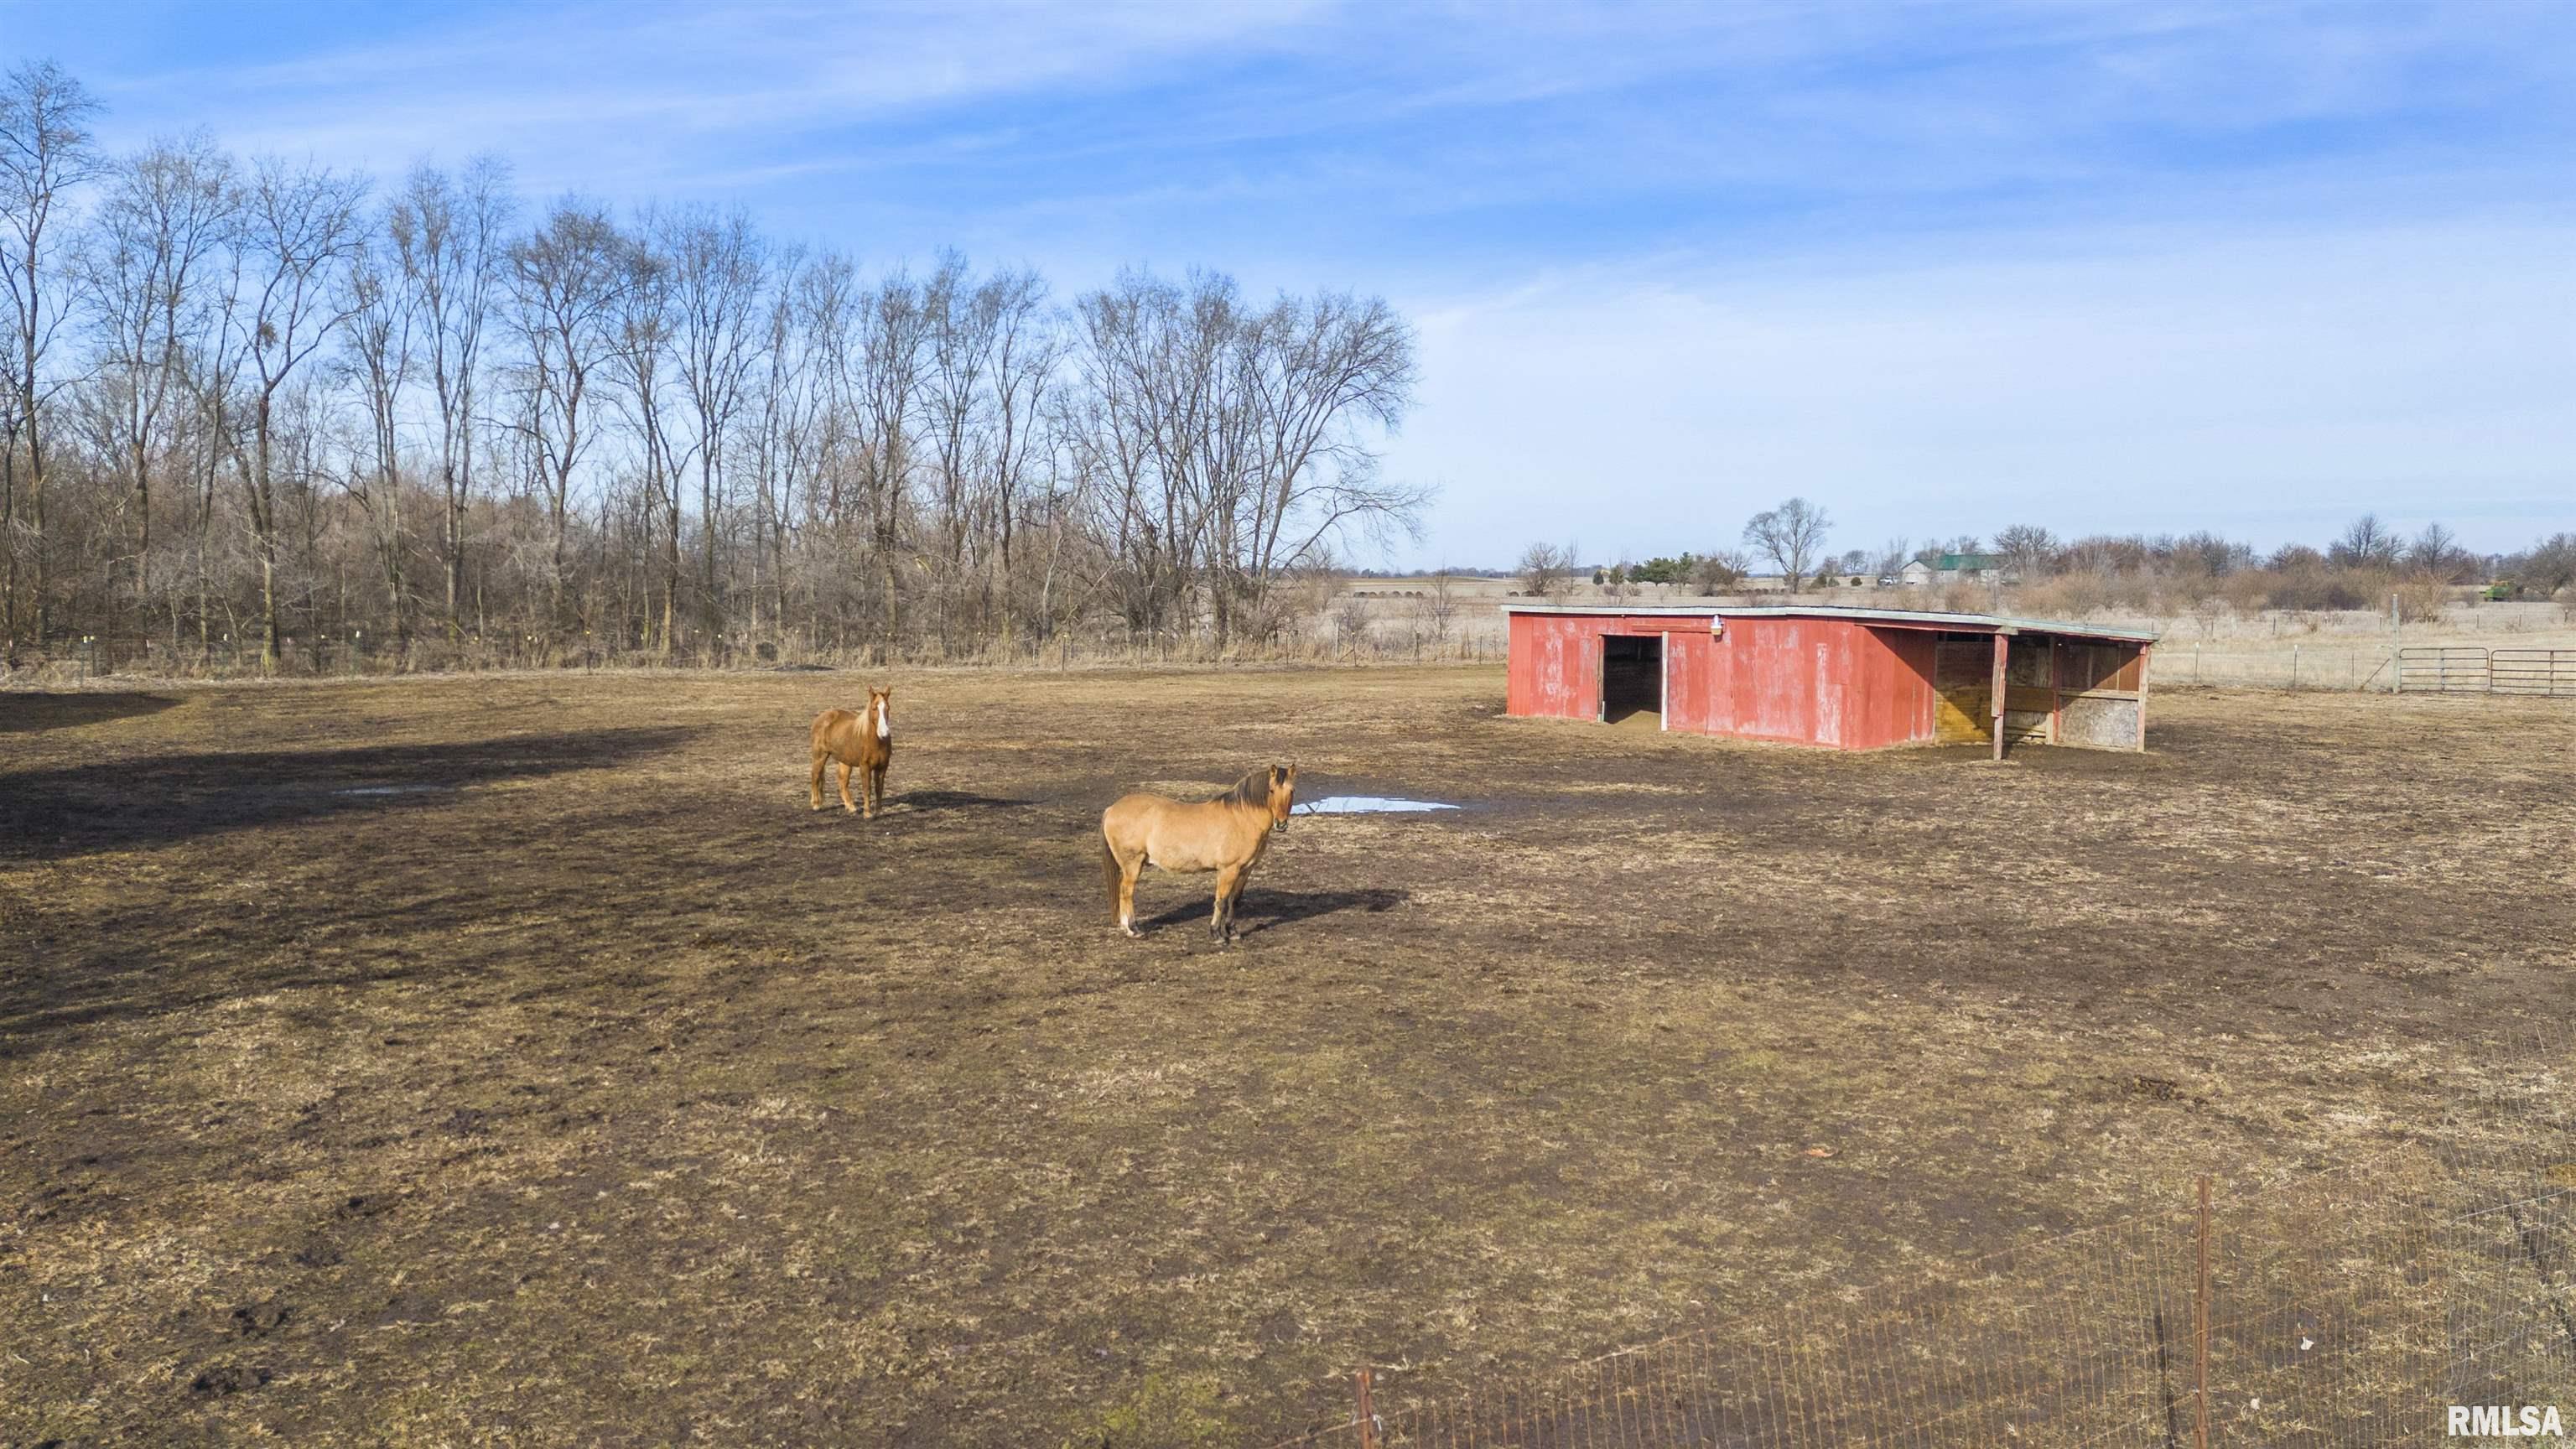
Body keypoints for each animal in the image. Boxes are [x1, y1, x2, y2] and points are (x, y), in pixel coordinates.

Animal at [813, 685, 896, 814]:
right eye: (874, 708)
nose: (884, 733)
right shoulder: (865, 766)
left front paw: (878, 812)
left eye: (888, 708)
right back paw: (816, 805)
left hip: (845, 761)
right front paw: (867, 813)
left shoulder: (883, 766)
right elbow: (867, 788)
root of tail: (822, 717)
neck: (875, 742)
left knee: (842, 782)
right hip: (820, 756)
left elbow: (879, 789)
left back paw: (851, 807)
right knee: (815, 776)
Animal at [1097, 763, 1298, 943]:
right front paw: (1217, 935)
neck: (1242, 818)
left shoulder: (1245, 869)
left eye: (1292, 791)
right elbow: (1221, 901)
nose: (1281, 824)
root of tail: (1112, 809)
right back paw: (1134, 929)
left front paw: (1232, 932)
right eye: (1271, 790)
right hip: (1133, 864)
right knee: (1127, 892)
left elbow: (1235, 900)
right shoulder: (1228, 870)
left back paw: (1126, 928)